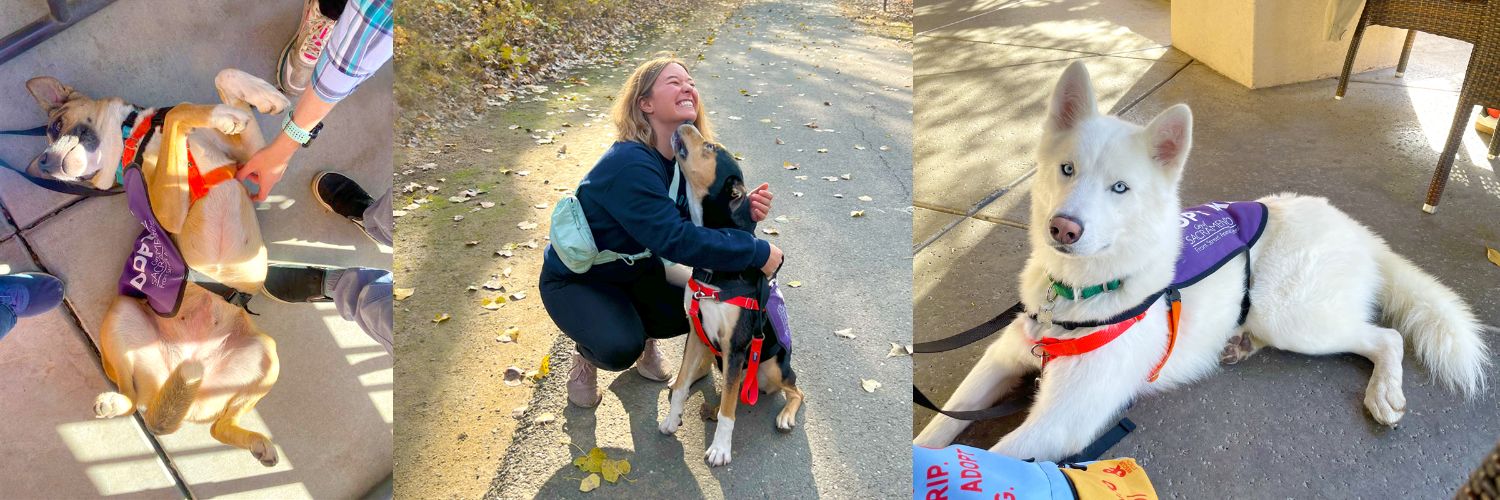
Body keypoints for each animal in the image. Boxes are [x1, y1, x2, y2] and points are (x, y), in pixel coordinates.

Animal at [24, 68, 286, 465]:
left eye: (55, 125)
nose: (44, 164)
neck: (137, 138)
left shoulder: (249, 162)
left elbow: (226, 80)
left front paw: (261, 97)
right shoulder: (168, 212)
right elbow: (180, 111)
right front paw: (225, 113)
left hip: (267, 353)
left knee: (219, 427)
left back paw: (256, 442)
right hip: (123, 313)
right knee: (135, 403)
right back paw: (114, 403)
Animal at [654, 122, 798, 465]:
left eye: (710, 148)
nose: (684, 123)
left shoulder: (736, 347)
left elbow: (728, 411)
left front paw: (720, 448)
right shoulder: (696, 332)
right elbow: (682, 385)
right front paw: (671, 419)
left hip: (773, 365)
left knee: (797, 389)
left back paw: (786, 415)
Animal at [912, 59, 1488, 459]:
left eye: (1120, 188)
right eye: (1067, 169)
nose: (1064, 228)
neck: (1081, 294)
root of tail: (1359, 231)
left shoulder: (1062, 422)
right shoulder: (1001, 359)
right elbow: (937, 428)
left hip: (1291, 317)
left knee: (1385, 338)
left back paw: (1383, 390)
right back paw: (1238, 344)